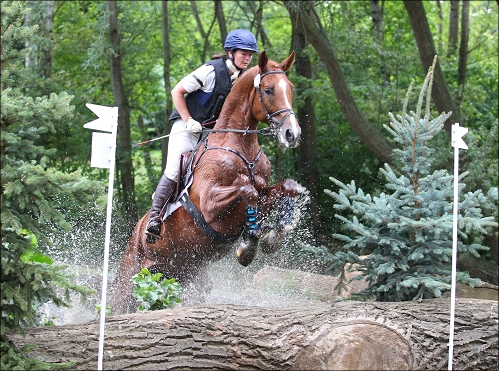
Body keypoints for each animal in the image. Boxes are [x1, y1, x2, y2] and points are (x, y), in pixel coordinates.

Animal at [111, 50, 302, 314]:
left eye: (290, 88)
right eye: (269, 90)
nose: (292, 134)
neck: (239, 145)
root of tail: (135, 233)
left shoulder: (265, 192)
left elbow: (287, 188)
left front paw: (275, 234)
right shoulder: (210, 206)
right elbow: (247, 189)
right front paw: (248, 247)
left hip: (187, 277)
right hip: (131, 276)